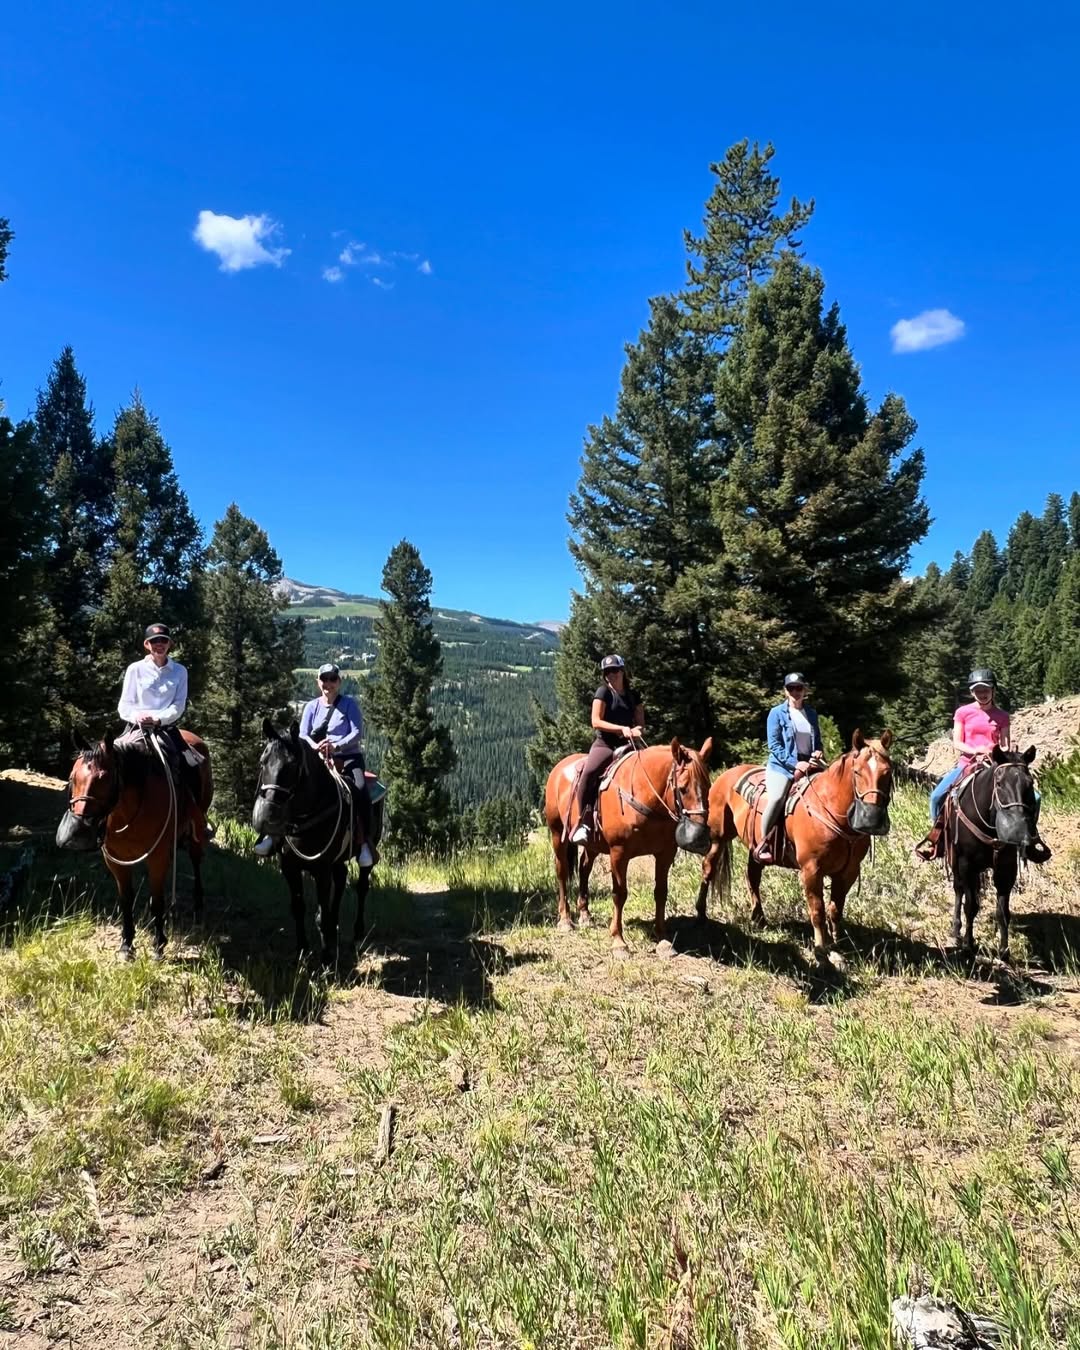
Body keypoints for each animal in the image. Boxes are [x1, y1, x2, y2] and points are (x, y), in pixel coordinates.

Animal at [56, 730, 214, 959]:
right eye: (71, 777)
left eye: (105, 779)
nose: (79, 831)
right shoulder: (116, 860)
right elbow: (126, 900)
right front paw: (126, 945)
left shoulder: (157, 857)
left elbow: (157, 901)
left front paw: (158, 946)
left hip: (196, 829)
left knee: (196, 859)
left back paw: (199, 904)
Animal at [252, 719, 382, 965]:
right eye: (263, 762)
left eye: (292, 765)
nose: (268, 814)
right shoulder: (289, 867)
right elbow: (298, 907)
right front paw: (302, 950)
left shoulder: (322, 869)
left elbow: (321, 913)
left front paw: (326, 959)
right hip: (337, 860)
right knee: (341, 879)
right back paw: (334, 927)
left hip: (366, 851)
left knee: (362, 885)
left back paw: (357, 933)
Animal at [543, 738, 712, 954]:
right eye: (682, 788)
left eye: (708, 786)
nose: (699, 837)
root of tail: (558, 769)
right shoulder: (619, 853)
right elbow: (619, 894)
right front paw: (618, 942)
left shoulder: (665, 853)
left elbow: (661, 892)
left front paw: (663, 939)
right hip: (558, 834)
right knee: (562, 871)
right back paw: (565, 920)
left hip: (593, 844)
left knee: (584, 868)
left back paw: (585, 915)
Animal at [696, 730, 894, 962]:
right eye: (857, 772)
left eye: (887, 772)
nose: (871, 818)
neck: (831, 809)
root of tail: (727, 774)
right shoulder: (811, 870)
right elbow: (817, 911)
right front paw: (821, 950)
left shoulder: (848, 872)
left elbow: (835, 910)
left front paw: (838, 947)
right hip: (718, 837)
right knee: (708, 869)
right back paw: (701, 913)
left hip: (755, 847)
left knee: (752, 876)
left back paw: (759, 918)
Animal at [943, 746, 1040, 958]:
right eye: (999, 783)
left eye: (1030, 783)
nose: (1017, 832)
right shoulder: (966, 863)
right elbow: (971, 906)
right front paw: (968, 945)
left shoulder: (1006, 867)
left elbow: (1003, 911)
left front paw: (1004, 951)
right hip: (955, 859)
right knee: (959, 889)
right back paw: (956, 930)